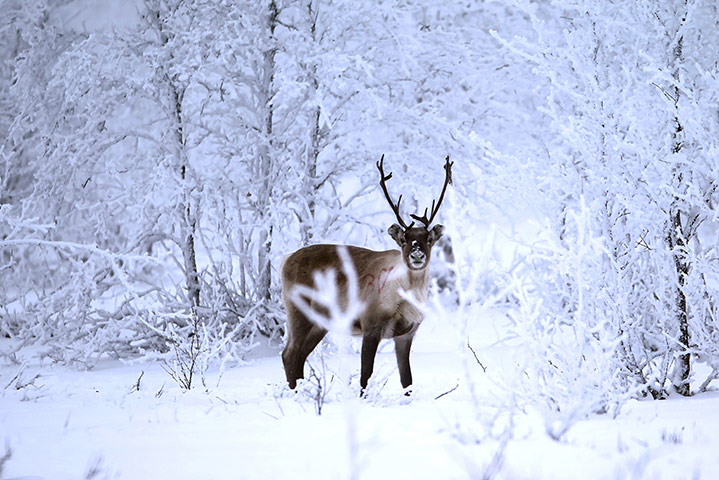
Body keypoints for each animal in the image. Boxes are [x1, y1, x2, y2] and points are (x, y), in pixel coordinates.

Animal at [281, 155, 453, 394]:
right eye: (404, 239)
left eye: (429, 239)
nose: (416, 255)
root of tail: (284, 260)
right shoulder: (370, 325)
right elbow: (365, 376)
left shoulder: (407, 333)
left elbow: (407, 380)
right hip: (298, 312)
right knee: (289, 354)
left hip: (319, 323)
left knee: (298, 357)